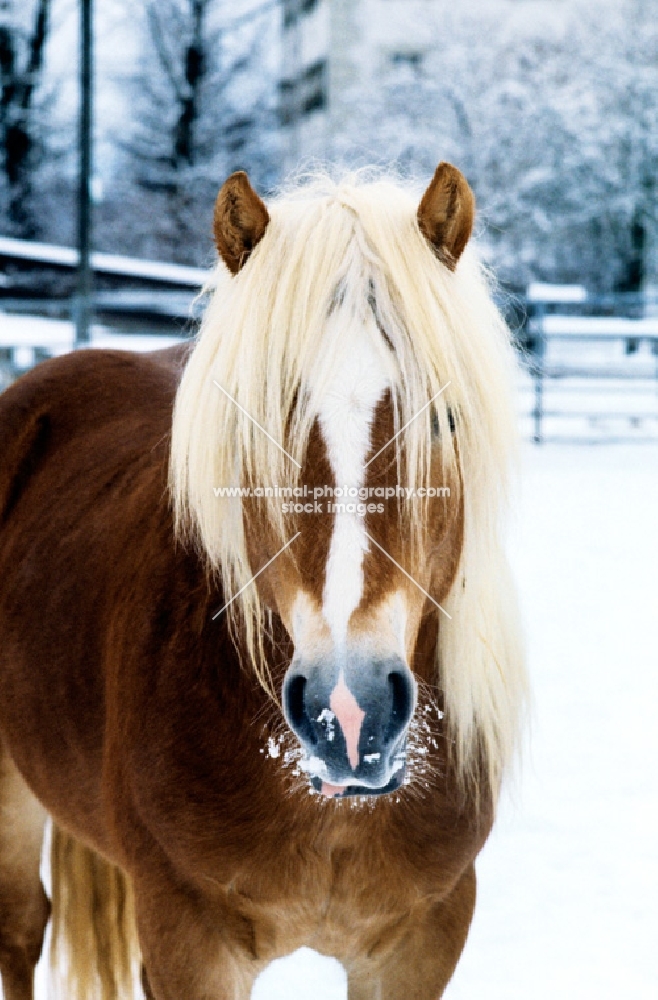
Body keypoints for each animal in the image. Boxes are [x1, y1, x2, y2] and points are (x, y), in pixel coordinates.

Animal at [0, 160, 524, 996]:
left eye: (444, 419)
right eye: (254, 423)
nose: (351, 708)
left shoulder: (422, 942)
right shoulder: (188, 943)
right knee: (20, 931)